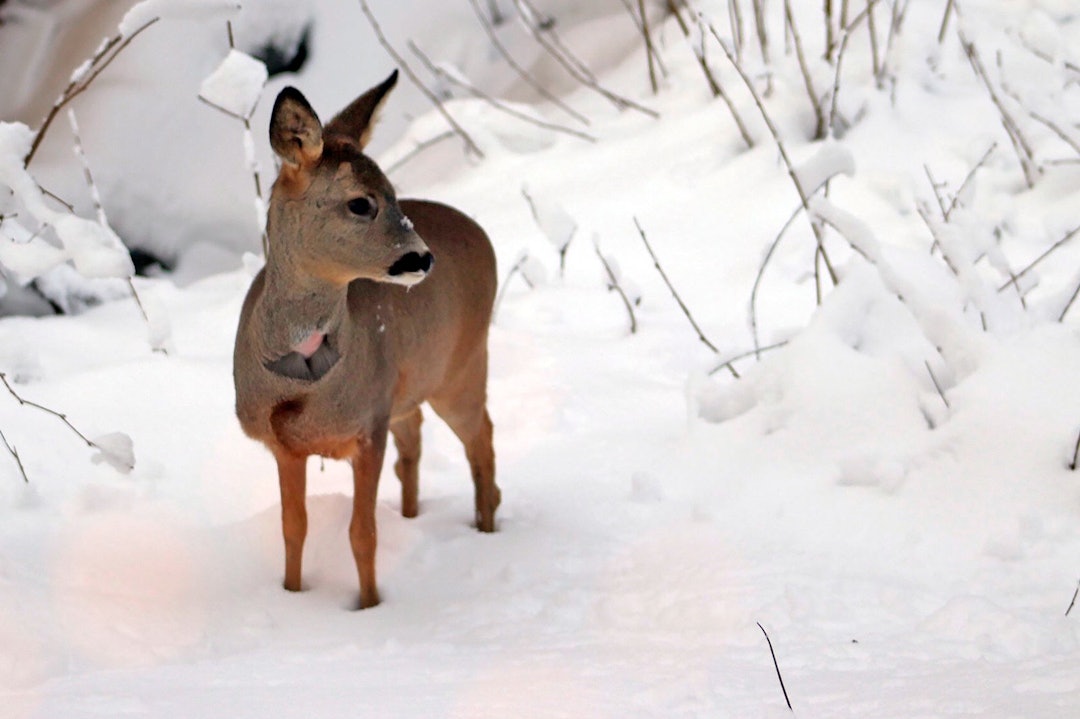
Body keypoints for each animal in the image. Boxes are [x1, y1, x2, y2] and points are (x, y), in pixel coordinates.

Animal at [234, 71, 498, 604]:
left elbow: (362, 534)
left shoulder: (366, 426)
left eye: (395, 193)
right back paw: (416, 516)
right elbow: (293, 528)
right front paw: (293, 595)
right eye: (361, 203)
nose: (423, 258)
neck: (302, 380)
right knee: (415, 438)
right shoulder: (285, 445)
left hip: (462, 365)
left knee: (481, 436)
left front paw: (370, 606)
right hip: (406, 388)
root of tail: (482, 235)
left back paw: (486, 528)